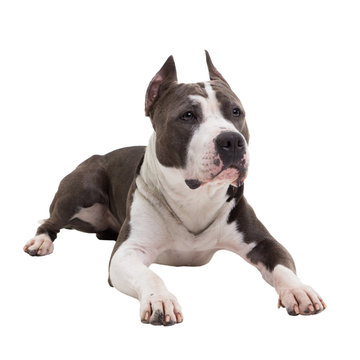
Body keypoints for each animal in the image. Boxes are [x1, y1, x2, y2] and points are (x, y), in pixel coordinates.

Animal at [22, 51, 326, 326]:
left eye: (236, 112)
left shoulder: (262, 242)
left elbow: (283, 266)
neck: (195, 197)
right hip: (83, 186)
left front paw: (299, 290)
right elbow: (150, 274)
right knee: (49, 221)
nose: (232, 140)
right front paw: (159, 299)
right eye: (188, 116)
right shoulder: (126, 253)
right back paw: (41, 242)